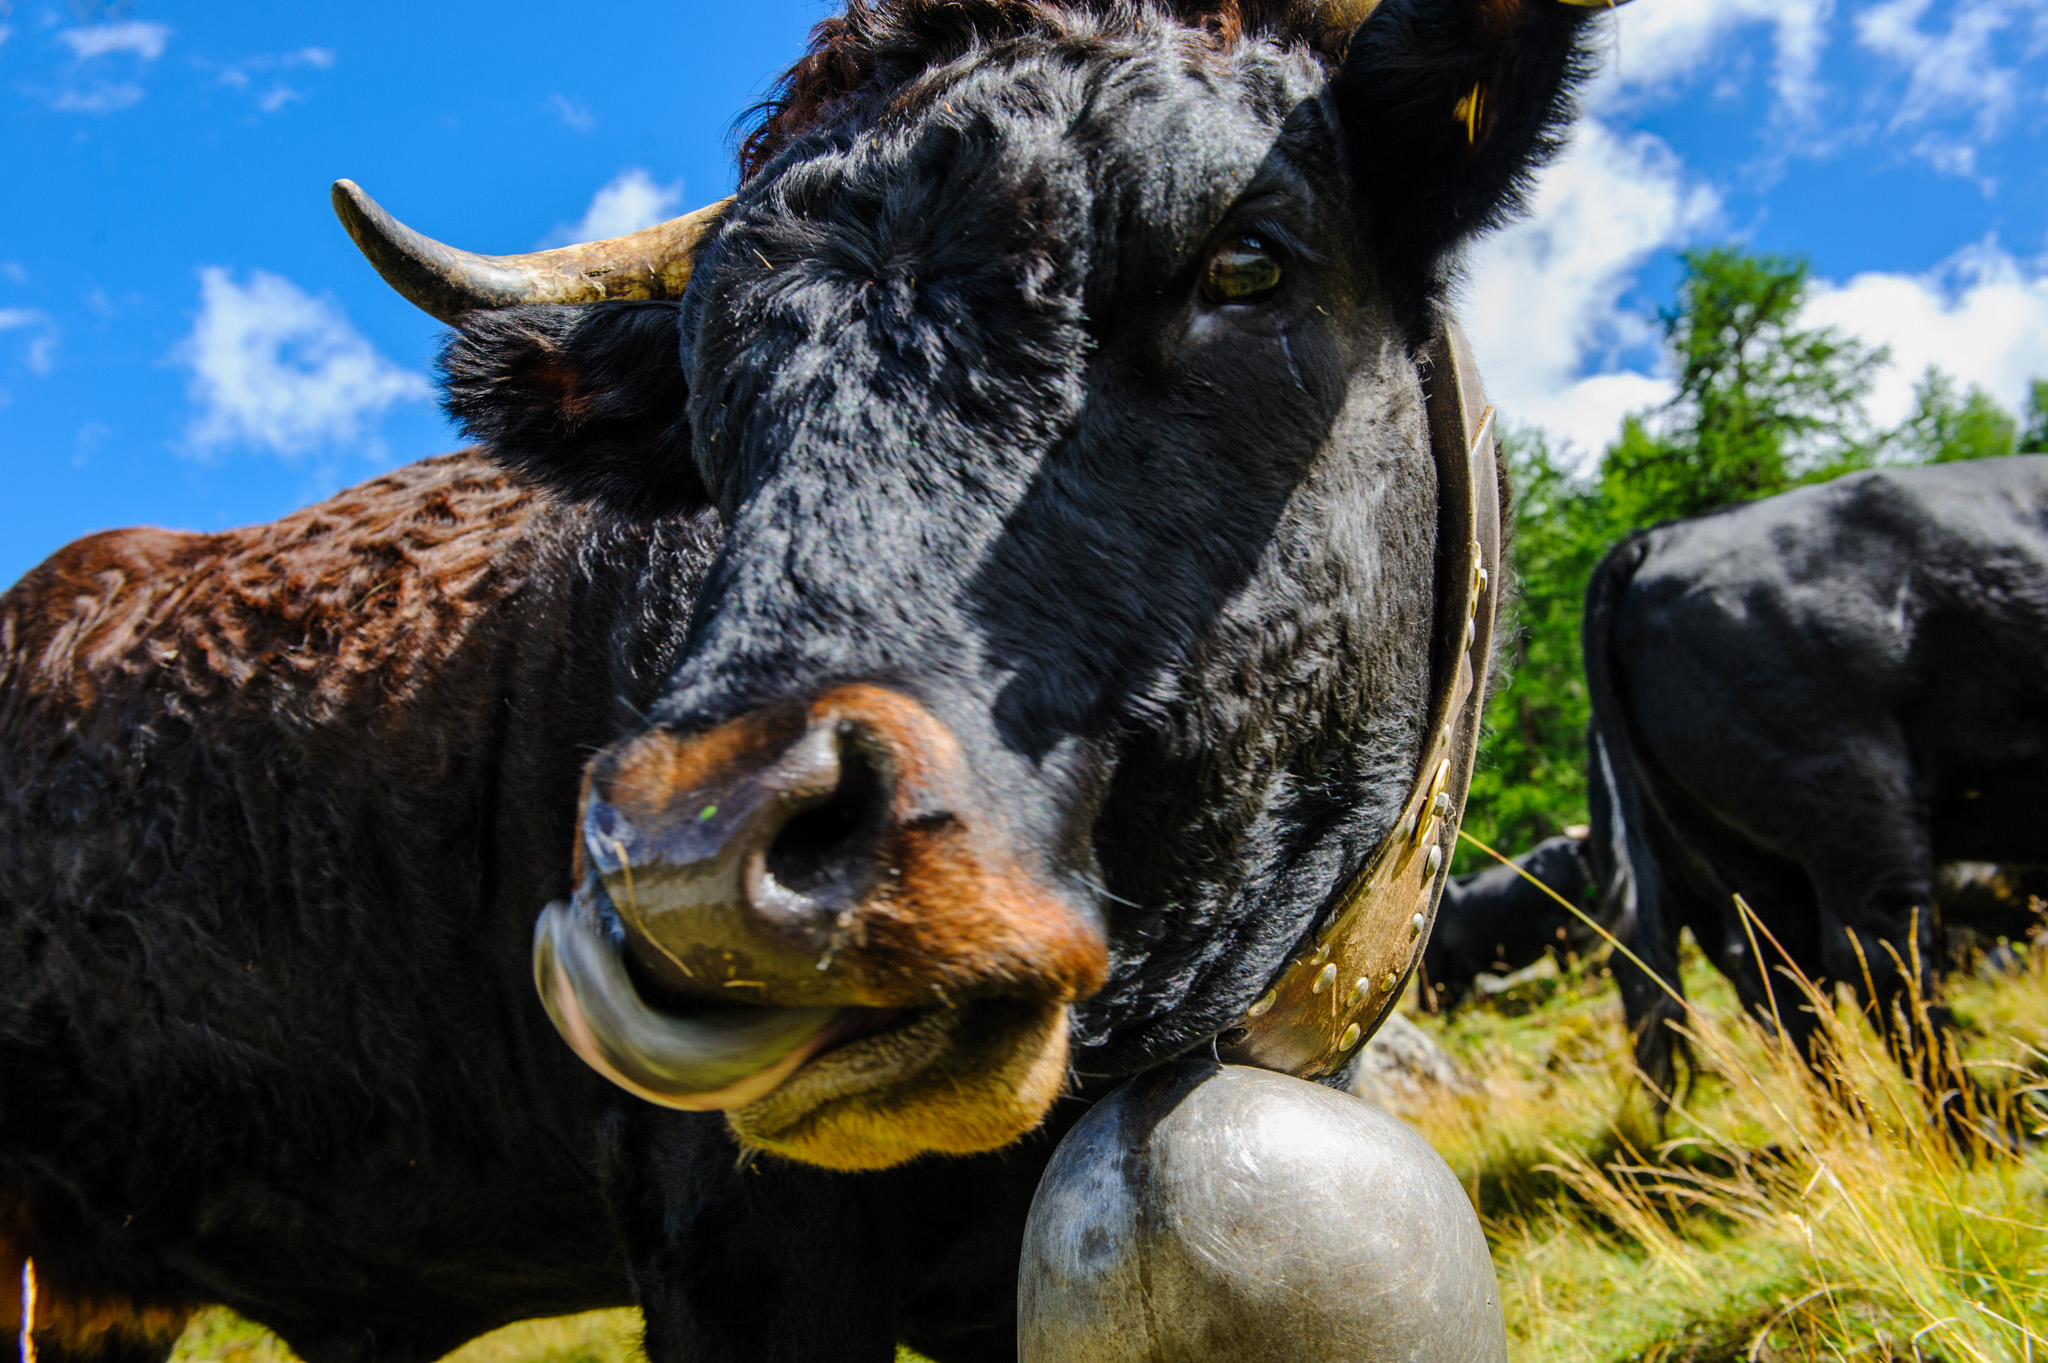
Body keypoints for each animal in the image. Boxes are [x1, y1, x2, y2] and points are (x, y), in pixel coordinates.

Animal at [1584, 457, 2048, 1114]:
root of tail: (1656, 540)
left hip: (1742, 857)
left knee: (1785, 979)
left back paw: (1852, 1124)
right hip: (1851, 805)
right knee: (1883, 958)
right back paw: (1977, 1127)